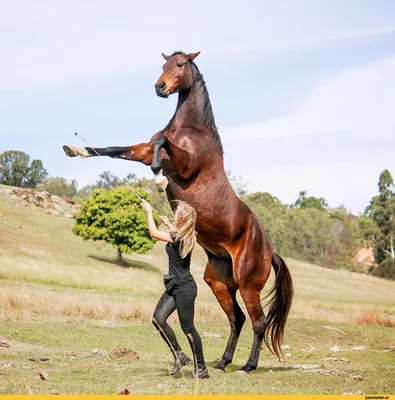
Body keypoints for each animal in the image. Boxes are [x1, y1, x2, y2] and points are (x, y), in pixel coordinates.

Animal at [63, 51, 294, 374]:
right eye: (164, 64)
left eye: (181, 64)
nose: (160, 87)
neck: (191, 130)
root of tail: (268, 249)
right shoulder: (142, 149)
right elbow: (116, 148)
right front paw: (75, 149)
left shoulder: (183, 164)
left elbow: (162, 146)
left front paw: (159, 178)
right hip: (220, 283)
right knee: (237, 319)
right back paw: (223, 362)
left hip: (248, 284)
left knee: (258, 322)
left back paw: (248, 366)